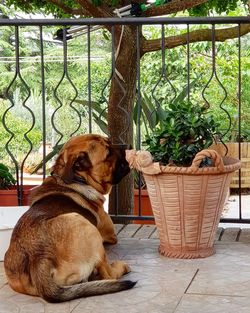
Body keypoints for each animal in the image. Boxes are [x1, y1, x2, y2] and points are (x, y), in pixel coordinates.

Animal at [3, 134, 136, 302]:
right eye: (108, 153)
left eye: (110, 142)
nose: (129, 146)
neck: (76, 179)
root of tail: (39, 258)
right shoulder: (110, 235)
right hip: (82, 223)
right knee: (108, 274)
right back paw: (121, 267)